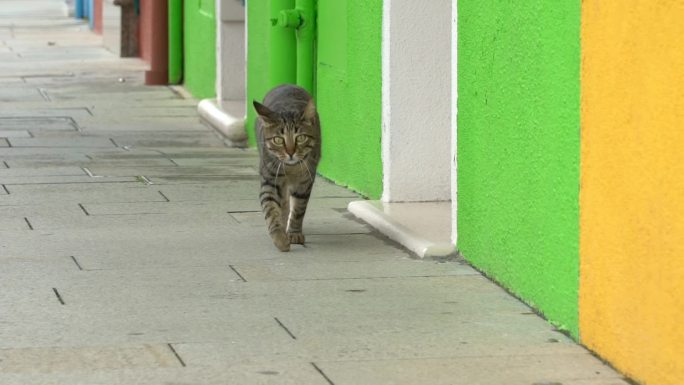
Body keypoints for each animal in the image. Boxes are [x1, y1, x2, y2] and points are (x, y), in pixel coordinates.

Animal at [254, 84, 320, 252]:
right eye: (278, 140)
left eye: (301, 138)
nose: (290, 152)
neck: (291, 169)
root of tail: (287, 84)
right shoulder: (269, 180)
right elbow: (271, 209)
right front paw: (279, 236)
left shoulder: (305, 182)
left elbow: (298, 210)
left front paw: (294, 233)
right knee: (282, 203)